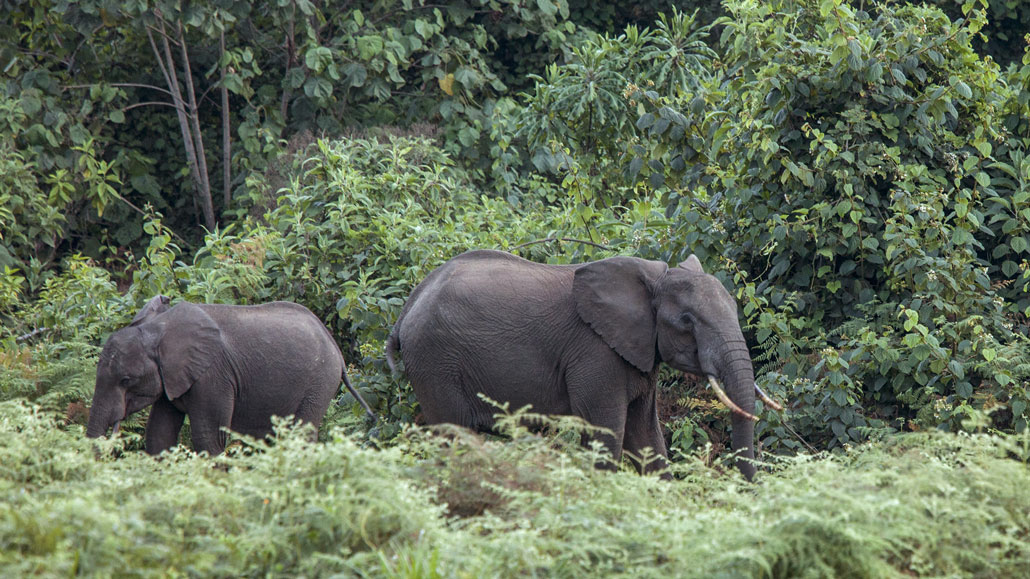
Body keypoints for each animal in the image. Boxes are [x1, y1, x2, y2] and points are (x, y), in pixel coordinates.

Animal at [86, 294, 372, 453]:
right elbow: (159, 434)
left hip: (320, 382)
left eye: (126, 380)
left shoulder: (213, 376)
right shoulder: (172, 378)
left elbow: (208, 437)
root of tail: (336, 349)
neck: (158, 327)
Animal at [389, 248, 774, 478]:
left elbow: (646, 437)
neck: (652, 279)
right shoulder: (595, 353)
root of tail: (409, 305)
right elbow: (608, 433)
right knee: (452, 434)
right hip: (435, 363)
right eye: (687, 321)